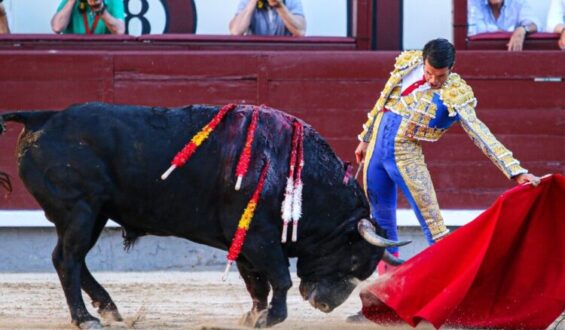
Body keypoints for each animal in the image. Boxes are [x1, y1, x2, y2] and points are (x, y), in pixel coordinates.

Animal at [0, 102, 406, 328]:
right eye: (352, 257)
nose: (325, 305)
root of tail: (42, 117)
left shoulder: (242, 241)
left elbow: (256, 283)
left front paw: (252, 317)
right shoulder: (259, 238)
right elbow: (279, 277)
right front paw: (271, 318)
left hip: (92, 215)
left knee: (74, 259)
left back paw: (110, 311)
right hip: (80, 212)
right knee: (67, 260)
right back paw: (85, 319)